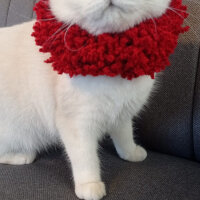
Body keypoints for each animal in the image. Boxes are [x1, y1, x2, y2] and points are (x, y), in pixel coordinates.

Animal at [0, 0, 170, 200]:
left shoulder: (121, 114)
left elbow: (125, 138)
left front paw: (131, 153)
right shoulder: (77, 122)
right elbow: (86, 158)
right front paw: (90, 186)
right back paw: (23, 155)